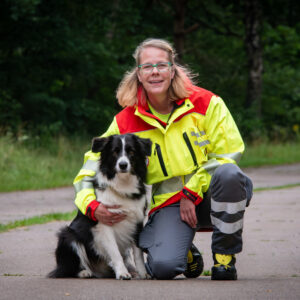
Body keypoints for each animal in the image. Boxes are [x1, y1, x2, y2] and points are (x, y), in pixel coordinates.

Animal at [49, 134, 152, 278]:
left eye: (131, 151)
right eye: (115, 152)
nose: (123, 165)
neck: (123, 184)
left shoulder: (137, 220)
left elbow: (138, 253)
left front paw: (143, 273)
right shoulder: (104, 224)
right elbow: (115, 251)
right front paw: (122, 273)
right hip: (68, 236)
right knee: (68, 268)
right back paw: (84, 272)